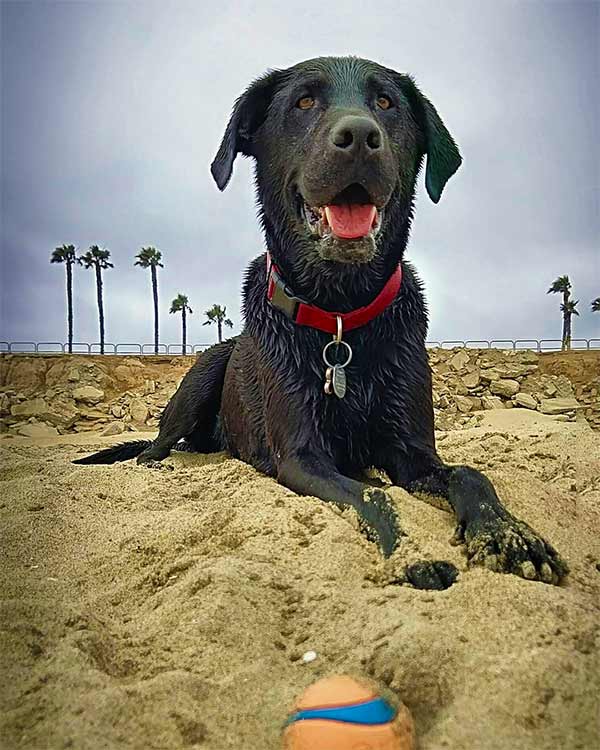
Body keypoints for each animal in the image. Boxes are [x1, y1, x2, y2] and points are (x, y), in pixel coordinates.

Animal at [75, 57, 568, 588]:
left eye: (386, 102)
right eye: (304, 101)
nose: (360, 136)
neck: (340, 314)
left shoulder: (414, 454)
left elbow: (468, 473)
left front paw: (509, 534)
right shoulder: (301, 455)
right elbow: (377, 494)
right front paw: (413, 554)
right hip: (200, 380)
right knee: (156, 445)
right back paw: (158, 465)